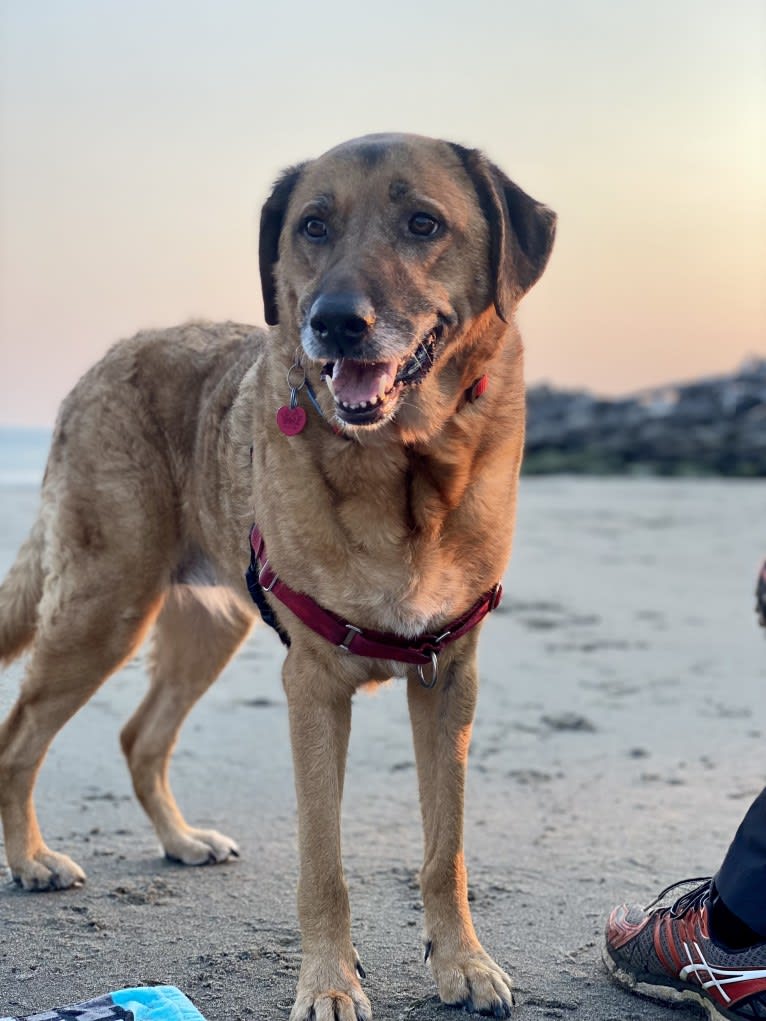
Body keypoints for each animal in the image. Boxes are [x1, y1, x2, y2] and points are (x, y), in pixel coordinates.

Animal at [0, 135, 555, 1021]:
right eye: (312, 225)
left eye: (423, 223)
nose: (334, 322)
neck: (405, 468)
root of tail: (110, 356)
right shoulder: (315, 689)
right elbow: (324, 866)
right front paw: (330, 982)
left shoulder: (448, 682)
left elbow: (446, 852)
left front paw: (463, 963)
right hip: (105, 605)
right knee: (19, 734)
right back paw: (30, 858)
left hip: (207, 625)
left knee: (140, 735)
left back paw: (180, 840)